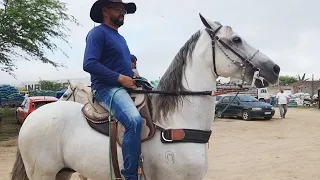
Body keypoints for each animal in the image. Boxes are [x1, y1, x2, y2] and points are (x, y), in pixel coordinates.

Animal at [10, 14, 280, 180]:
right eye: (236, 39)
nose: (274, 69)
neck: (175, 122)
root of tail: (34, 118)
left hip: (62, 172)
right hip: (42, 173)